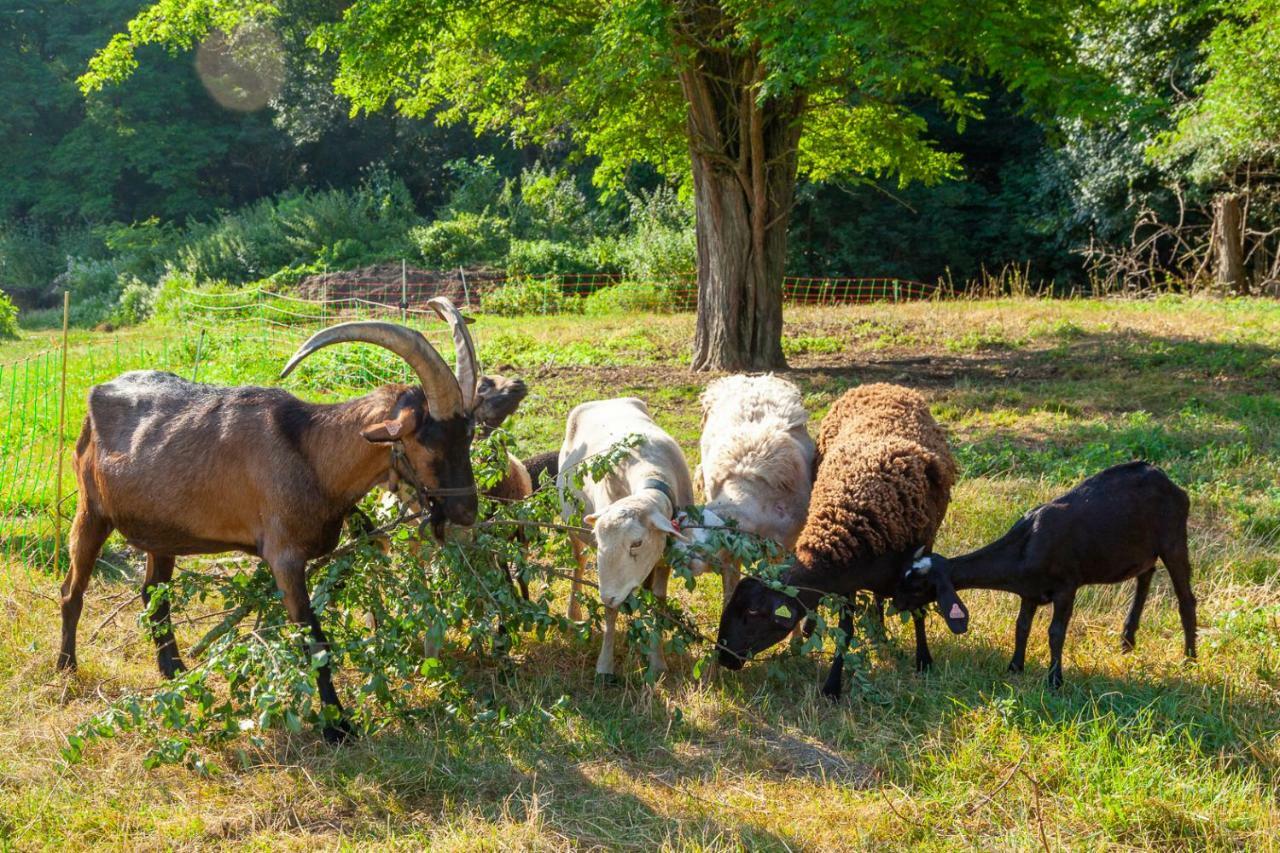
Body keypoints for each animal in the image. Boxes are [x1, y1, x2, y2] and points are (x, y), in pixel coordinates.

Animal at [56, 297, 483, 737]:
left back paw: (174, 671)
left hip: (162, 534)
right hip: (91, 510)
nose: (467, 510)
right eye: (429, 445)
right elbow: (315, 640)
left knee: (153, 596)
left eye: (468, 435)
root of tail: (95, 396)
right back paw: (67, 667)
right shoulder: (284, 557)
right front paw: (337, 725)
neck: (310, 452)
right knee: (72, 590)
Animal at [716, 381, 957, 696]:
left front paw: (924, 660)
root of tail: (880, 384)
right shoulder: (847, 582)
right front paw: (832, 684)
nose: (722, 657)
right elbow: (845, 630)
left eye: (753, 613)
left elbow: (918, 611)